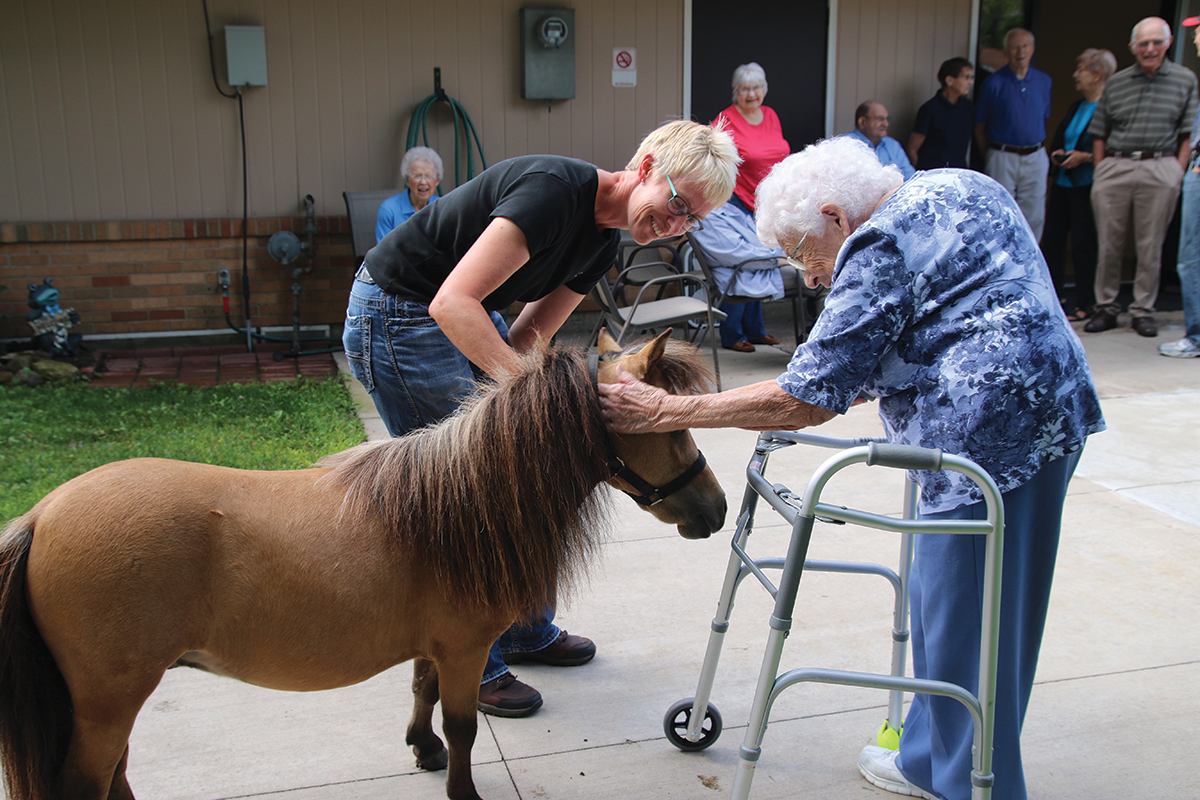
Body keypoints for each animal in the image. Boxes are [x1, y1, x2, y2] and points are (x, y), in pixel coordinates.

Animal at [0, 331, 724, 800]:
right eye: (668, 424)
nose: (715, 511)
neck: (460, 505)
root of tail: (39, 517)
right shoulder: (466, 649)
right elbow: (464, 726)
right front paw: (462, 789)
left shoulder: (434, 646)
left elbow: (422, 696)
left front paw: (424, 752)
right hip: (109, 702)